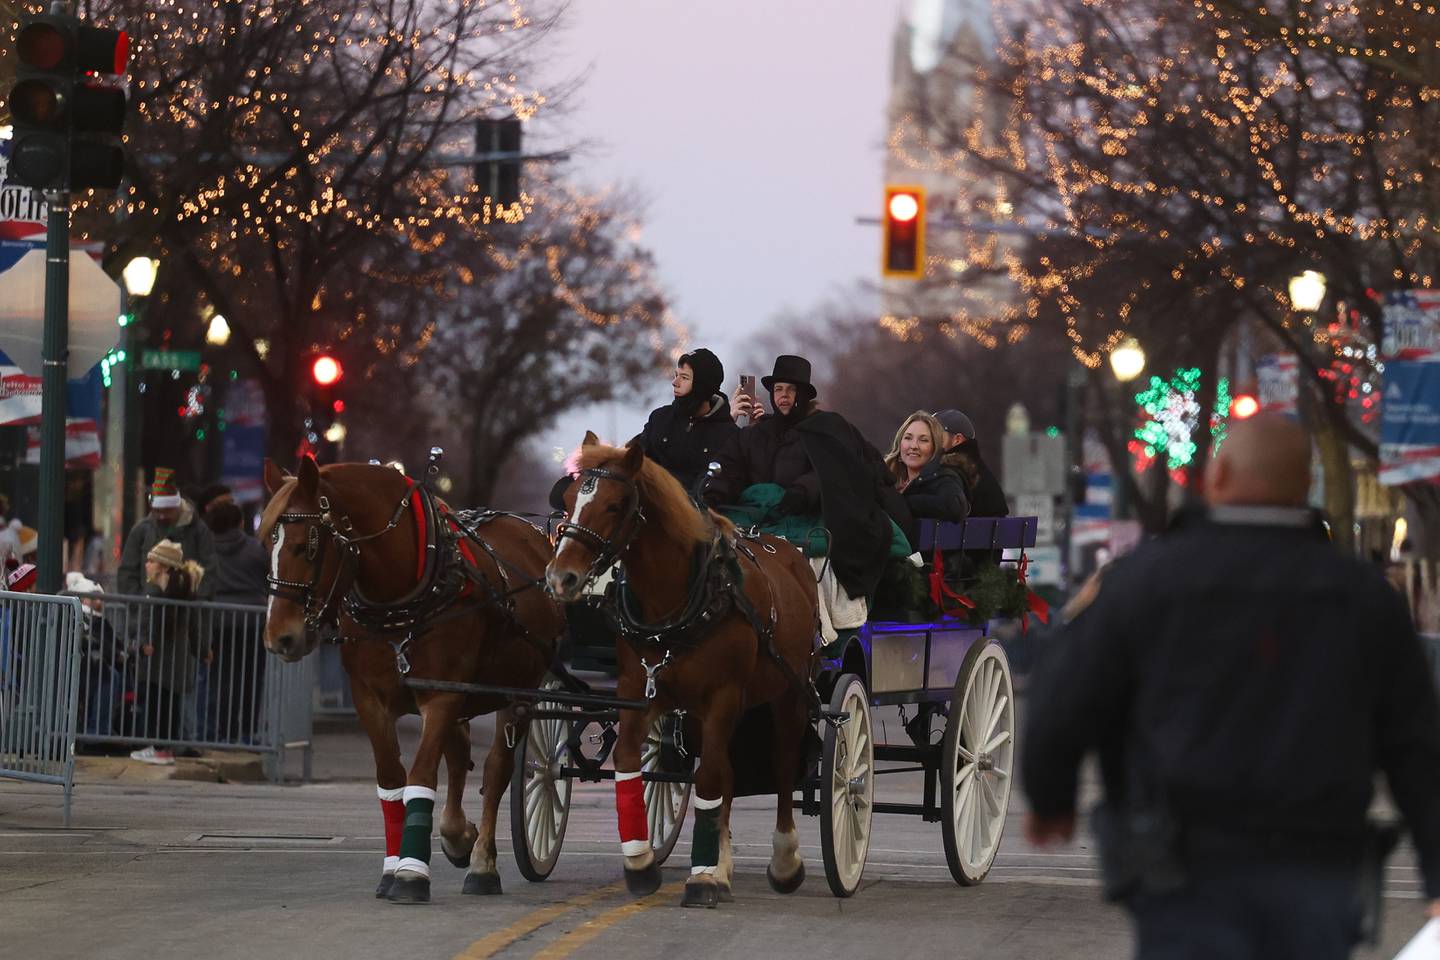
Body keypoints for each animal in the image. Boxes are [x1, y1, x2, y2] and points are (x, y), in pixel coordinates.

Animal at [260, 454, 561, 903]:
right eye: (267, 542)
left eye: (308, 545)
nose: (280, 637)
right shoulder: (369, 697)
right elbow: (391, 781)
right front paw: (394, 867)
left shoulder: (441, 695)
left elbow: (421, 776)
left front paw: (411, 874)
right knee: (459, 754)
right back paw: (458, 838)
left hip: (519, 693)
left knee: (497, 770)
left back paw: (482, 864)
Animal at [544, 434, 823, 909]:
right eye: (567, 499)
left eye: (616, 504)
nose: (561, 577)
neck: (673, 605)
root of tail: (789, 550)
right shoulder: (642, 691)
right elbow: (630, 761)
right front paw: (641, 862)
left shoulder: (723, 695)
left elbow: (709, 775)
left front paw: (704, 877)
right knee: (728, 769)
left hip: (789, 693)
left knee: (784, 766)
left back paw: (785, 862)